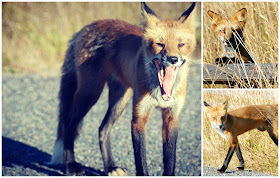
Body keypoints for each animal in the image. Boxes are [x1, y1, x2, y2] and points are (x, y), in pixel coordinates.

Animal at [47, 1, 197, 177]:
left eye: (181, 45)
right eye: (160, 44)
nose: (173, 59)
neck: (160, 93)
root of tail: (87, 27)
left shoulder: (171, 117)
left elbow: (170, 159)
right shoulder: (138, 118)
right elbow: (141, 161)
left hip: (119, 101)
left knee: (102, 130)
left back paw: (110, 166)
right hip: (90, 94)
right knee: (68, 123)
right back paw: (71, 165)